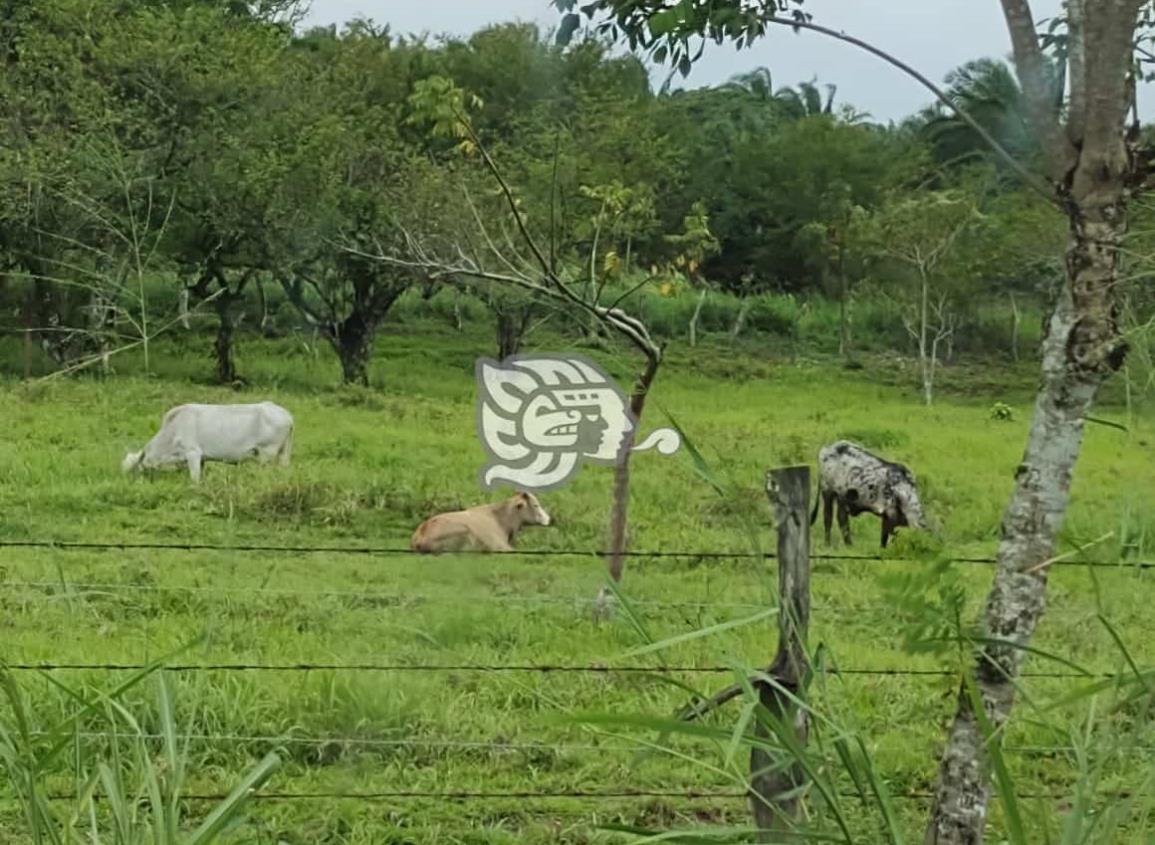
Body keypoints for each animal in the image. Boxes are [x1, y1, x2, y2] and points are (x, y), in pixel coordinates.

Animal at [120, 401, 293, 482]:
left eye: (135, 469)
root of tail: (287, 416)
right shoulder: (201, 459)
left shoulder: (193, 453)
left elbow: (195, 478)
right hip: (284, 452)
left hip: (267, 453)